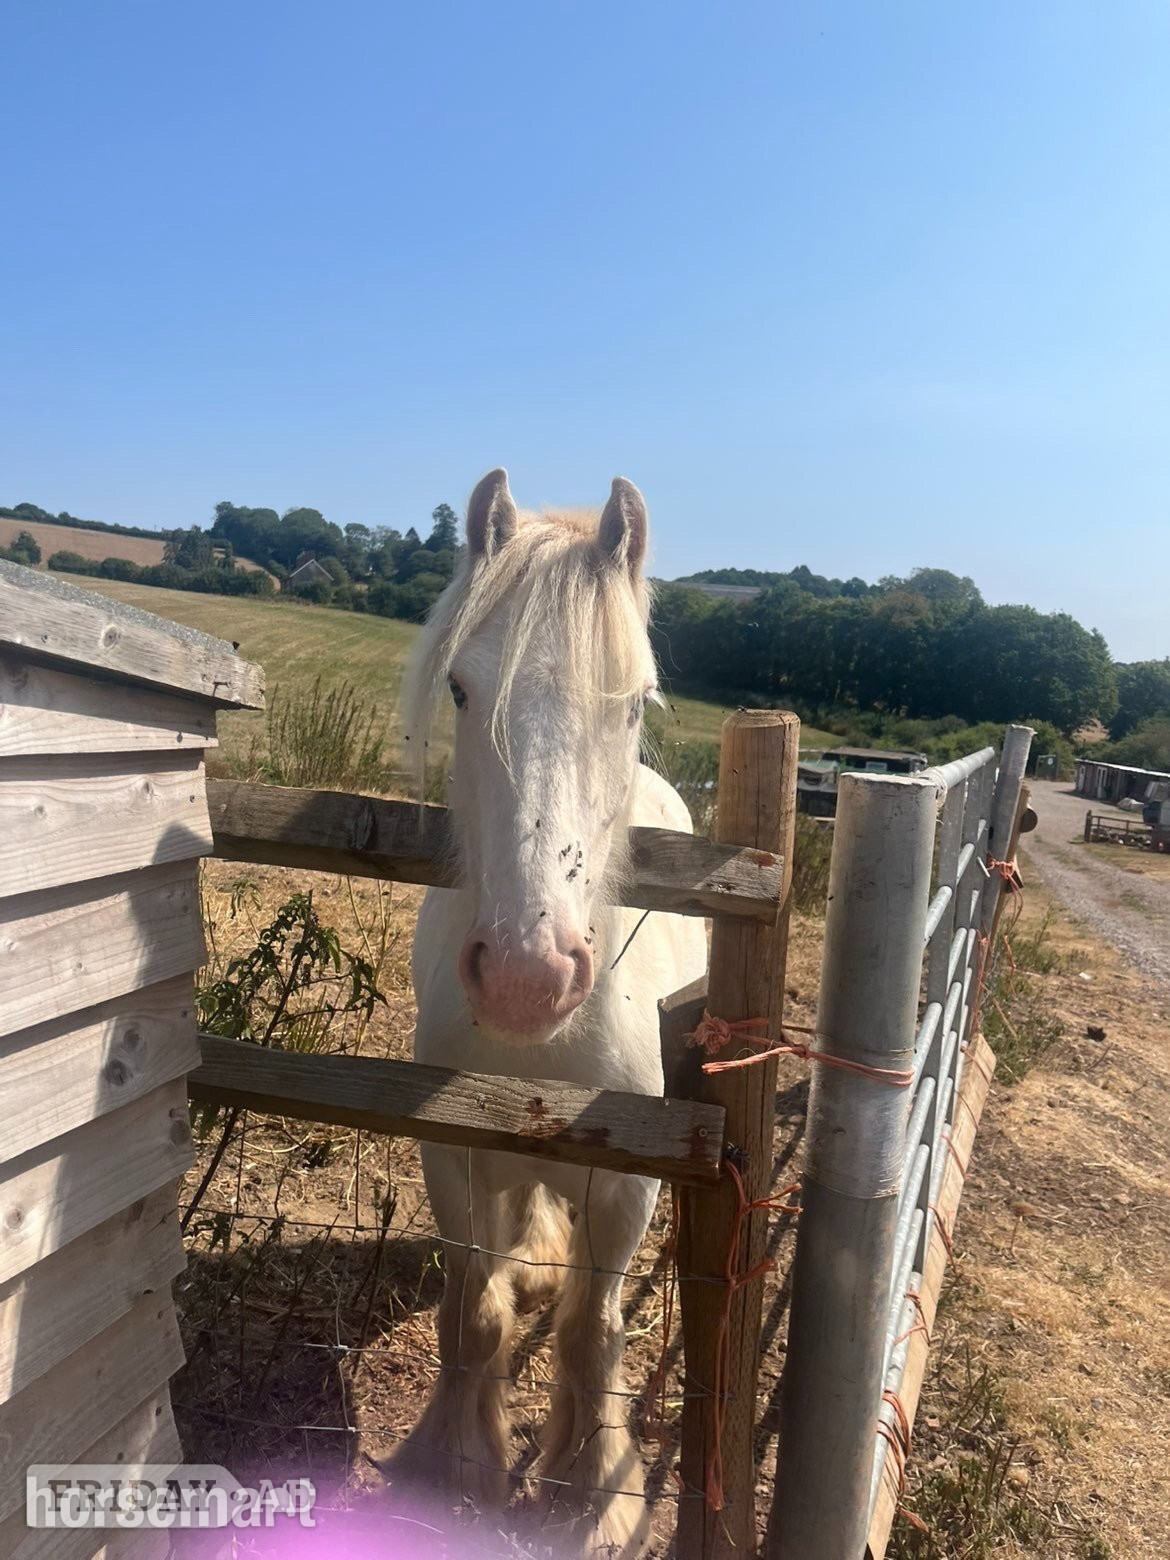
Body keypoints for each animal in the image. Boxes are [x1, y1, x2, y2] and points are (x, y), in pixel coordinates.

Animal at [391, 469, 707, 1555]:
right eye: (458, 688)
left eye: (635, 704)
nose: (529, 977)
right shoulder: (450, 1150)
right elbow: (474, 1312)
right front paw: (459, 1461)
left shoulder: (629, 1186)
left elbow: (586, 1330)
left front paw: (596, 1487)